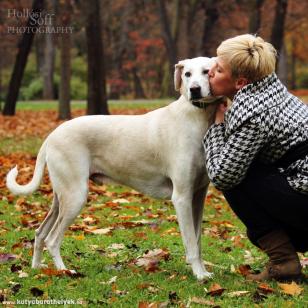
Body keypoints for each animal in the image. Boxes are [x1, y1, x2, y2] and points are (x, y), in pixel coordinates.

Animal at [6, 56, 220, 280]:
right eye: (187, 74)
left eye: (206, 71)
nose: (194, 89)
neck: (195, 116)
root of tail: (52, 135)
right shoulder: (181, 197)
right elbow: (191, 243)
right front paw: (199, 275)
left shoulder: (197, 197)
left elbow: (197, 240)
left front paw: (202, 270)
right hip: (75, 196)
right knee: (52, 239)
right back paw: (65, 271)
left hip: (61, 198)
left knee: (40, 233)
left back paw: (36, 269)